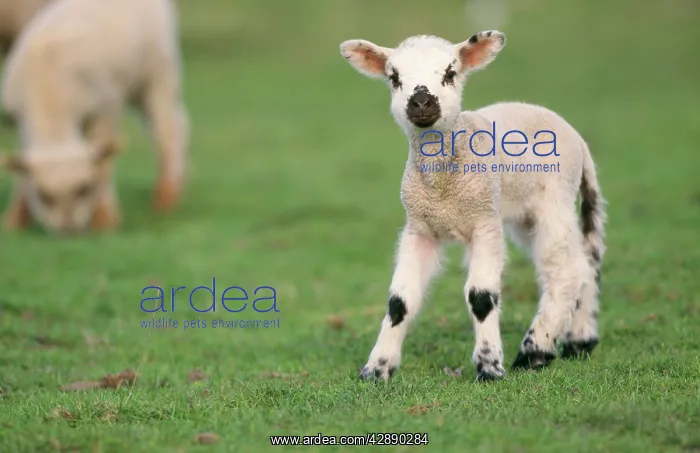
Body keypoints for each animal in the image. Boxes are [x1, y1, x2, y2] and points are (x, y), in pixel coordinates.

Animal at [1, 0, 188, 234]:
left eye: (84, 188)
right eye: (43, 196)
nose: (68, 231)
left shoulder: (106, 107)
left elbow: (104, 164)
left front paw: (104, 221)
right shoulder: (21, 122)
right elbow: (21, 172)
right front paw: (13, 222)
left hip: (158, 73)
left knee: (169, 129)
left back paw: (166, 198)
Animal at [339, 31, 606, 381]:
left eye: (450, 73)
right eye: (394, 78)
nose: (421, 102)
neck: (442, 188)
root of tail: (579, 141)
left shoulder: (485, 221)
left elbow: (481, 297)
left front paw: (490, 366)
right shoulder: (419, 227)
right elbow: (399, 302)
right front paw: (377, 368)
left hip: (553, 198)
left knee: (567, 270)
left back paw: (536, 350)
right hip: (525, 215)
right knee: (583, 263)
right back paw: (579, 339)